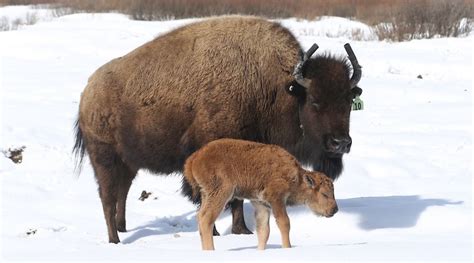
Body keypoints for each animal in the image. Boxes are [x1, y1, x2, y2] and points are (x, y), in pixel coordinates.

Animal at [182, 138, 336, 252]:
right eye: (324, 194)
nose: (334, 209)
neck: (297, 177)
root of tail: (195, 158)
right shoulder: (276, 199)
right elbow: (284, 223)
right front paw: (287, 248)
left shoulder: (261, 204)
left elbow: (263, 231)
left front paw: (260, 251)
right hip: (221, 194)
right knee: (206, 219)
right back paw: (211, 251)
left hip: (206, 194)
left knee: (200, 217)